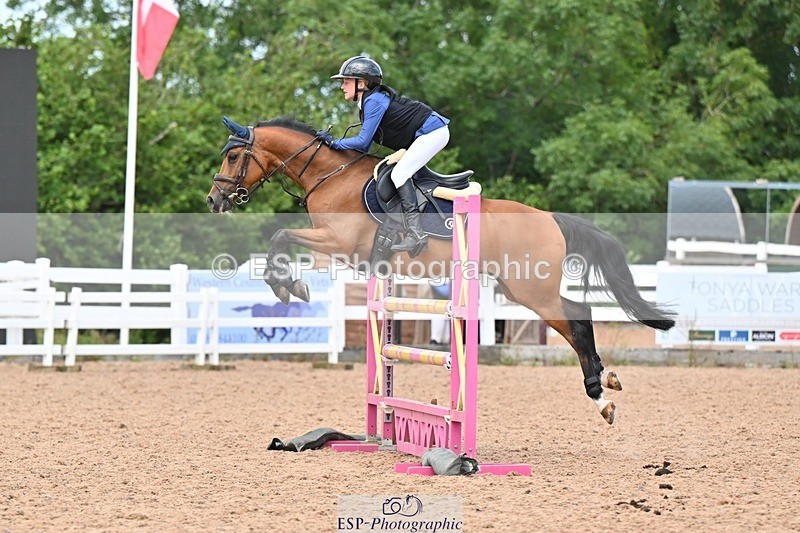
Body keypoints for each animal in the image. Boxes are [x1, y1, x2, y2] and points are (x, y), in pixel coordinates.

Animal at [207, 116, 676, 424]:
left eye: (234, 156)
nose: (214, 200)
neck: (329, 174)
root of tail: (550, 218)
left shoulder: (337, 243)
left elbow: (280, 236)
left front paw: (288, 287)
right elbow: (283, 239)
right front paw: (289, 285)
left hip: (531, 291)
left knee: (577, 321)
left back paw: (600, 396)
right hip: (520, 288)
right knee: (582, 315)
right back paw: (607, 382)